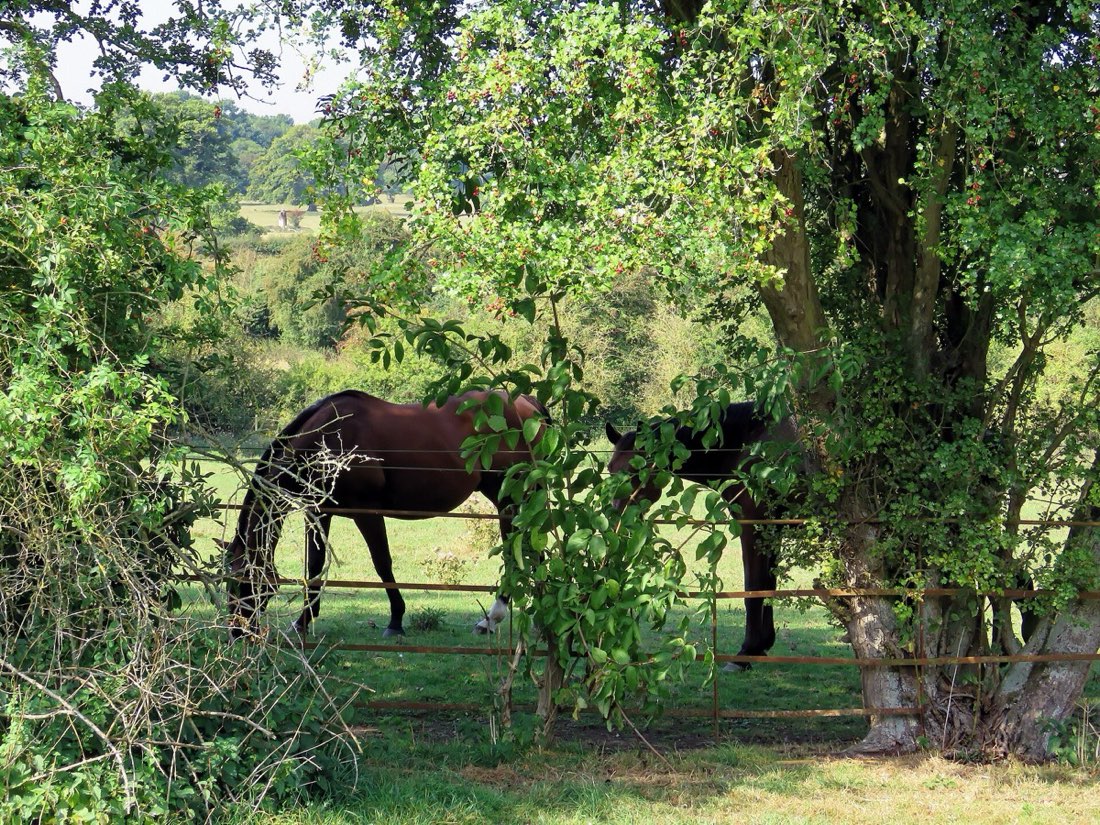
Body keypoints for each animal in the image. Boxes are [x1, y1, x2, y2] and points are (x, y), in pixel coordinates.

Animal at [221, 389, 546, 638]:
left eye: (244, 582)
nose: (237, 632)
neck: (327, 440)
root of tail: (527, 404)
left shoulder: (367, 513)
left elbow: (382, 564)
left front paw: (396, 621)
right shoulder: (318, 512)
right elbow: (314, 565)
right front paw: (302, 621)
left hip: (509, 498)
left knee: (516, 552)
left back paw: (493, 619)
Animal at [604, 401, 800, 666]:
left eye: (638, 469)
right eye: (610, 468)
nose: (618, 519)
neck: (747, 442)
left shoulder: (753, 527)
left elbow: (753, 588)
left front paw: (745, 653)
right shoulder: (771, 532)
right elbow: (768, 586)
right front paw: (762, 644)